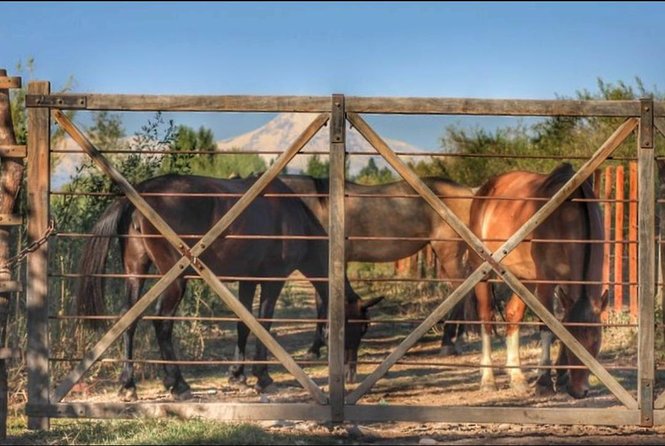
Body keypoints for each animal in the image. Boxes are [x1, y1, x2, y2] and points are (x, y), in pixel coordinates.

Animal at [76, 174, 383, 401]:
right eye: (360, 327)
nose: (351, 375)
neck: (293, 216)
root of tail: (139, 194)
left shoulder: (248, 280)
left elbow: (244, 325)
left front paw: (238, 375)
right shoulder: (273, 280)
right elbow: (264, 324)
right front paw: (263, 378)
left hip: (135, 271)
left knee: (128, 320)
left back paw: (128, 386)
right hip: (175, 279)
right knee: (162, 324)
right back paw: (178, 384)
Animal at [279, 175, 476, 355]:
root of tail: (469, 192)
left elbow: (321, 304)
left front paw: (314, 348)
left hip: (448, 254)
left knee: (460, 289)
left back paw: (448, 342)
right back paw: (460, 337)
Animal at [468, 163, 608, 399]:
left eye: (596, 342)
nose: (579, 391)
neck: (567, 217)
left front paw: (561, 376)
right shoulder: (546, 282)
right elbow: (548, 328)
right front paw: (544, 382)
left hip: (522, 278)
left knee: (512, 316)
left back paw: (517, 378)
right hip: (483, 270)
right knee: (486, 317)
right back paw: (488, 379)